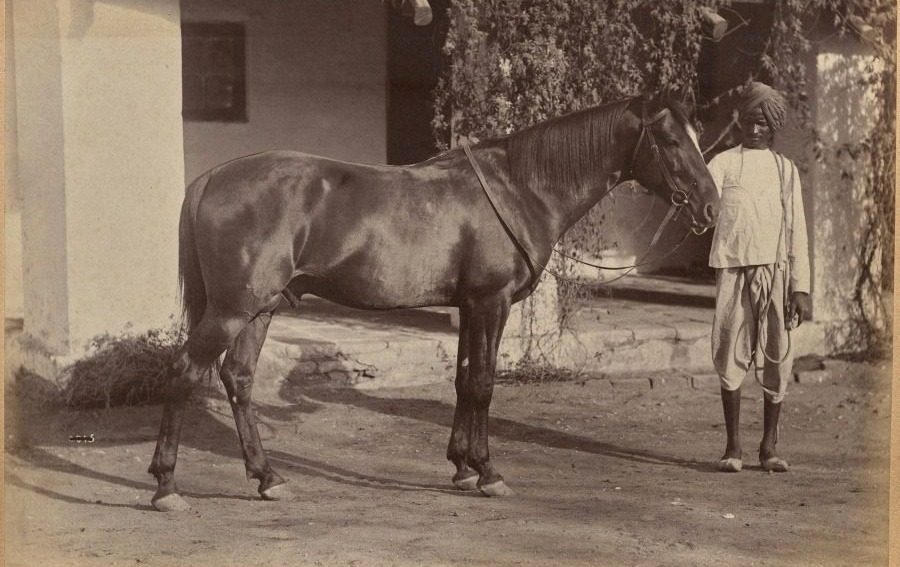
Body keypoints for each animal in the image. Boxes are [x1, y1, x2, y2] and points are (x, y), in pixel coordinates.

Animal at [148, 93, 719, 511]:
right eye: (671, 140)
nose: (711, 208)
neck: (520, 188)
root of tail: (211, 179)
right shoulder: (491, 303)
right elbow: (484, 383)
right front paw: (488, 472)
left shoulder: (468, 306)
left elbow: (464, 380)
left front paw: (462, 467)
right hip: (231, 310)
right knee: (183, 371)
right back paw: (166, 486)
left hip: (260, 309)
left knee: (238, 379)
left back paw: (268, 478)